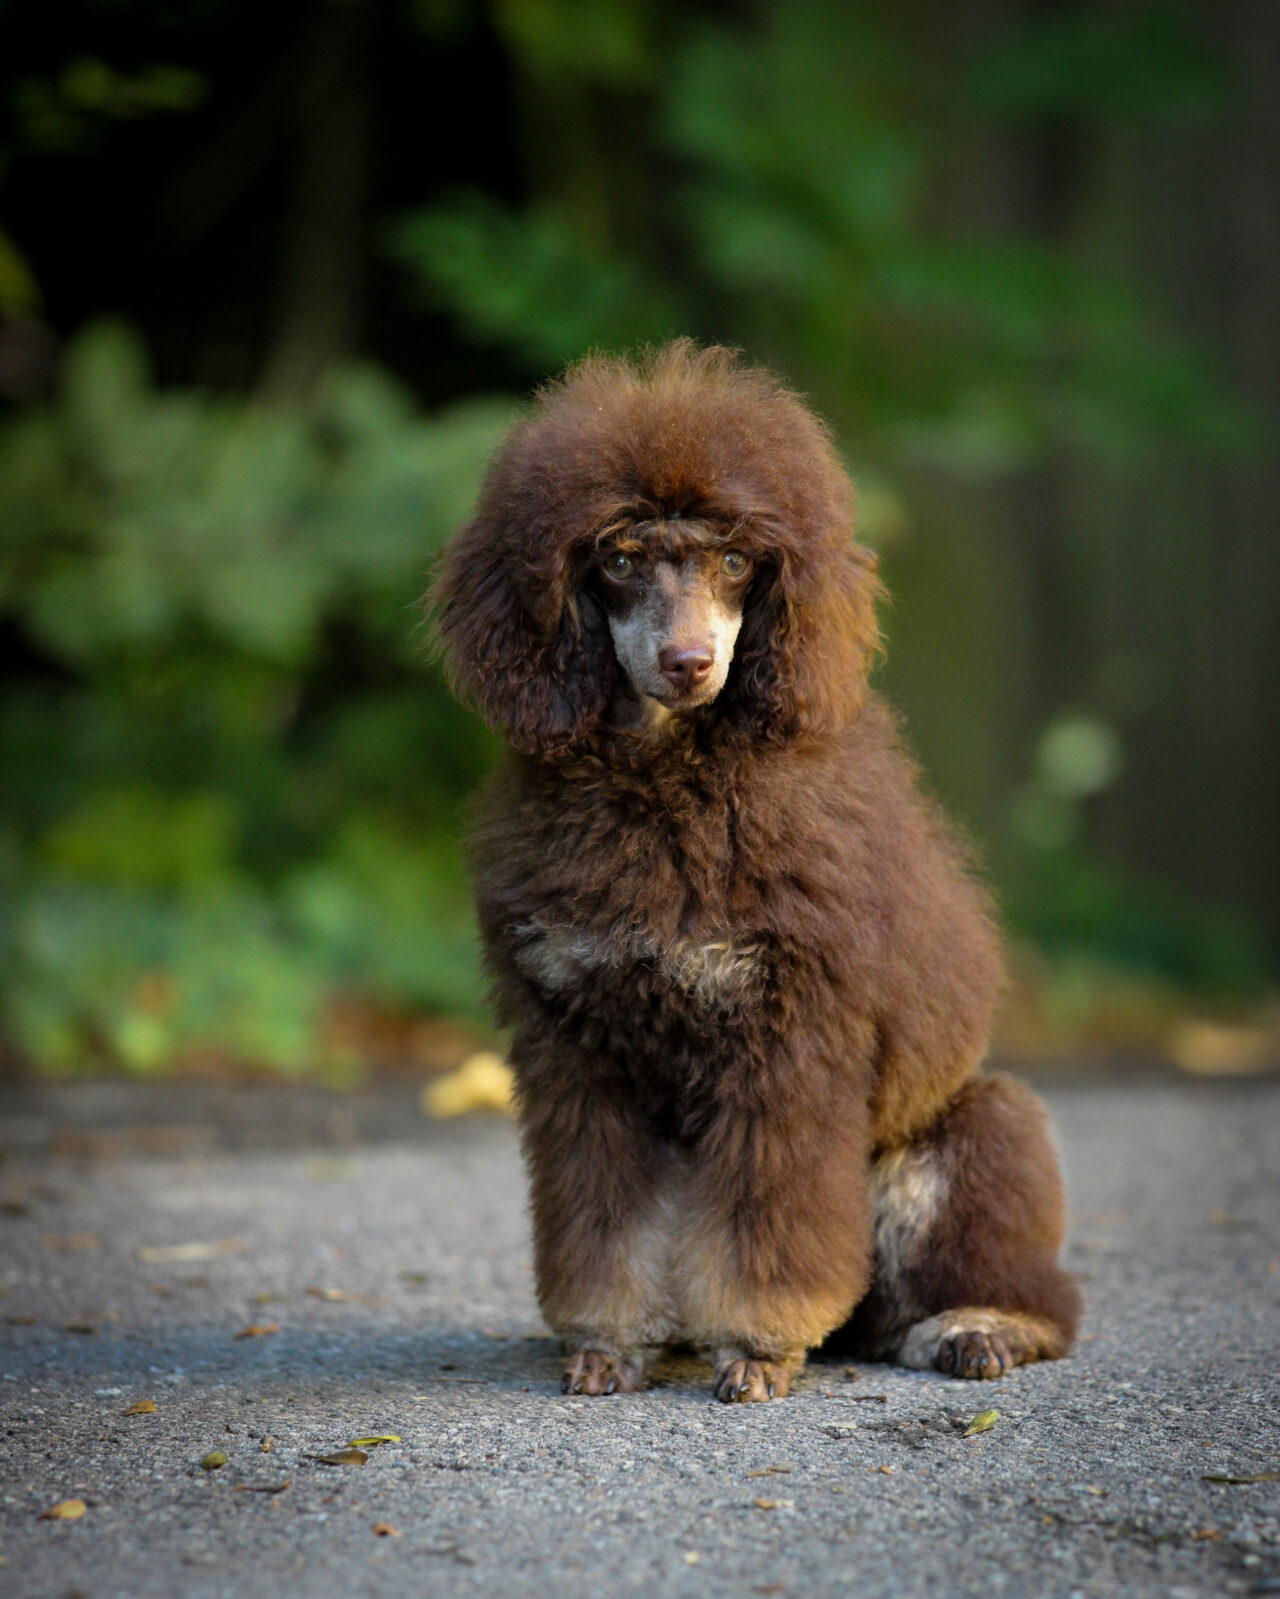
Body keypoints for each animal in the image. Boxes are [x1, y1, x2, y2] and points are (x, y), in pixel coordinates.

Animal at [434, 341, 1079, 1402]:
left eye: (737, 560)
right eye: (618, 558)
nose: (688, 662)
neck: (666, 786)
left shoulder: (788, 1040)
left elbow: (767, 1221)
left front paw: (760, 1347)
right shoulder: (578, 1048)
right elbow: (602, 1225)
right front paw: (608, 1341)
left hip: (972, 1128)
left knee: (1022, 1284)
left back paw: (979, 1325)